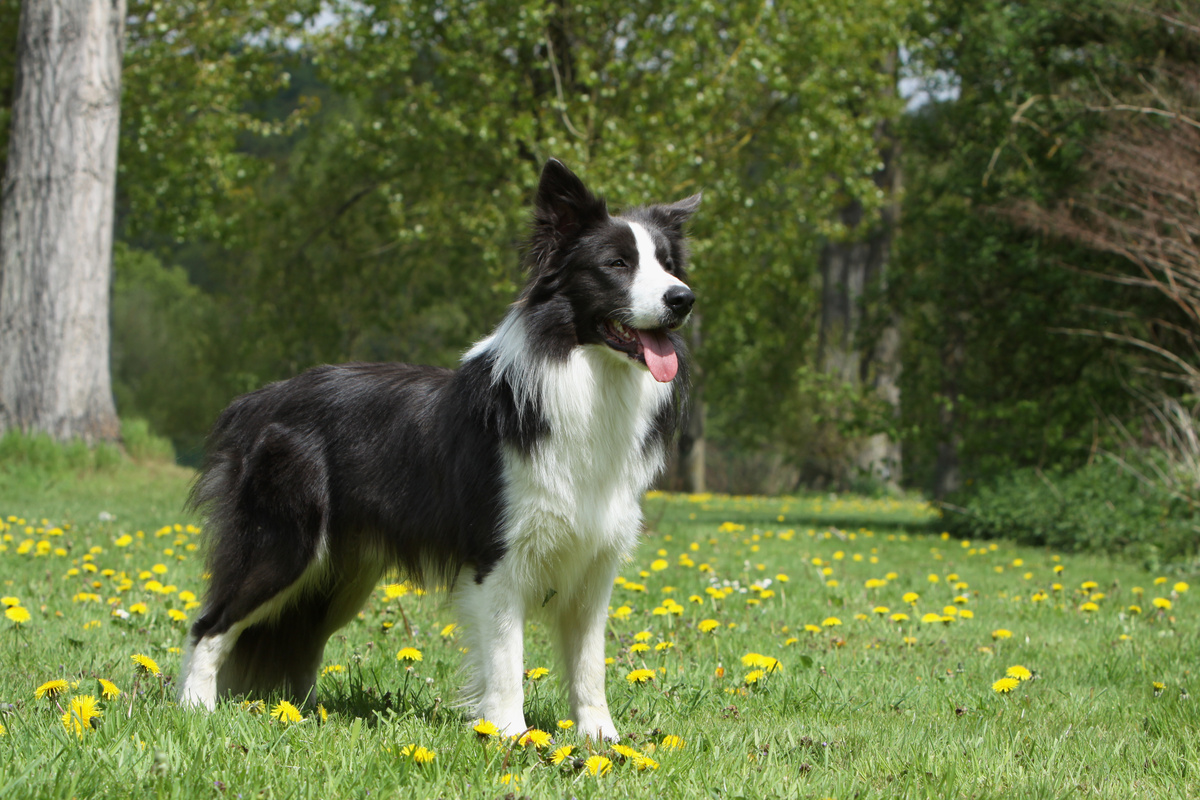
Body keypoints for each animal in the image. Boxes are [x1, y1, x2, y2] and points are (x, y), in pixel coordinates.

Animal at [181, 159, 700, 743]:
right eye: (616, 264)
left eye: (667, 264)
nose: (683, 299)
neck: (584, 377)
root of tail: (256, 401)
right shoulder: (498, 556)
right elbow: (506, 658)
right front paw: (510, 736)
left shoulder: (594, 560)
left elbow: (589, 666)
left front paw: (601, 740)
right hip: (283, 545)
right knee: (211, 624)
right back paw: (195, 708)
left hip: (338, 576)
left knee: (293, 638)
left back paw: (297, 711)